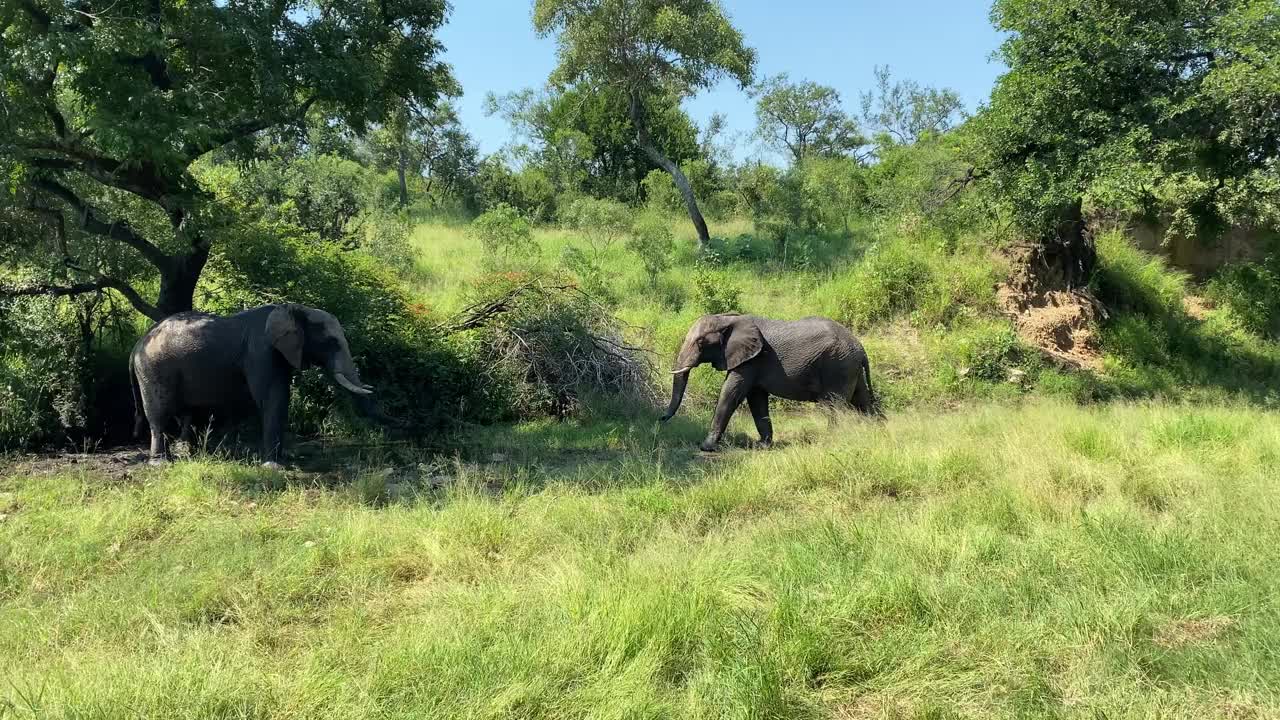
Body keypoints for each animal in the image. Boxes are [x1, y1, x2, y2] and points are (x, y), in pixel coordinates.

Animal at [131, 301, 376, 466]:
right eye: (332, 342)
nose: (371, 389)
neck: (294, 309)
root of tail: (136, 346)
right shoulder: (261, 352)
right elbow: (272, 398)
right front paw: (273, 466)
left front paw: (281, 459)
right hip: (154, 369)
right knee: (159, 414)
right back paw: (161, 463)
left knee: (185, 413)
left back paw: (190, 454)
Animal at [660, 312, 880, 450]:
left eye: (700, 342)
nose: (661, 419)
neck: (728, 318)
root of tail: (861, 349)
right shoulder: (753, 362)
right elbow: (756, 399)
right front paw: (763, 446)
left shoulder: (751, 360)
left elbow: (730, 393)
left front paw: (706, 447)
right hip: (850, 368)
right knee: (863, 401)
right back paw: (875, 432)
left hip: (838, 367)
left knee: (834, 406)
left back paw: (831, 439)